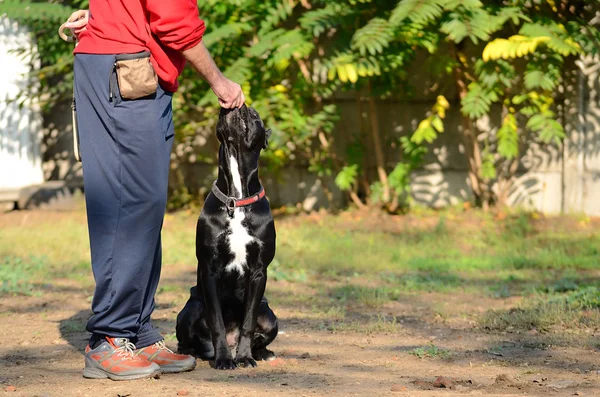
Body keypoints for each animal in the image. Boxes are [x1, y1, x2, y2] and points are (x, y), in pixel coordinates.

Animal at [176, 104, 278, 368]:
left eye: (256, 116)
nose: (242, 105)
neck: (236, 199)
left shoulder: (258, 272)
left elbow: (249, 322)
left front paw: (245, 357)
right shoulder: (209, 270)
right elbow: (217, 322)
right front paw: (223, 359)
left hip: (269, 315)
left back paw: (261, 353)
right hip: (191, 307)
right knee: (189, 338)